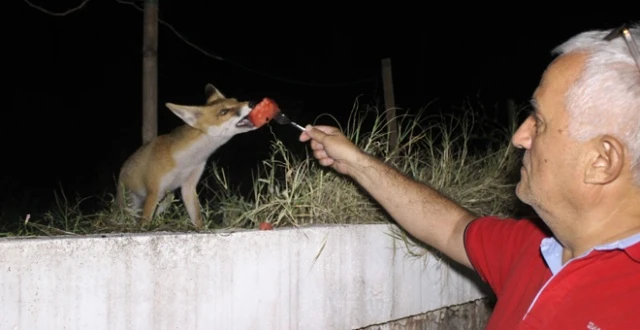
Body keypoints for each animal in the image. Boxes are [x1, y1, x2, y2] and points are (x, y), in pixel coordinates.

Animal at [115, 82, 258, 228]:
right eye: (224, 112)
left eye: (236, 100)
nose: (252, 103)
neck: (185, 163)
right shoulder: (154, 192)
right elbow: (145, 222)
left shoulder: (188, 188)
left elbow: (197, 218)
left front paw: (200, 229)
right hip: (133, 203)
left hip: (168, 198)